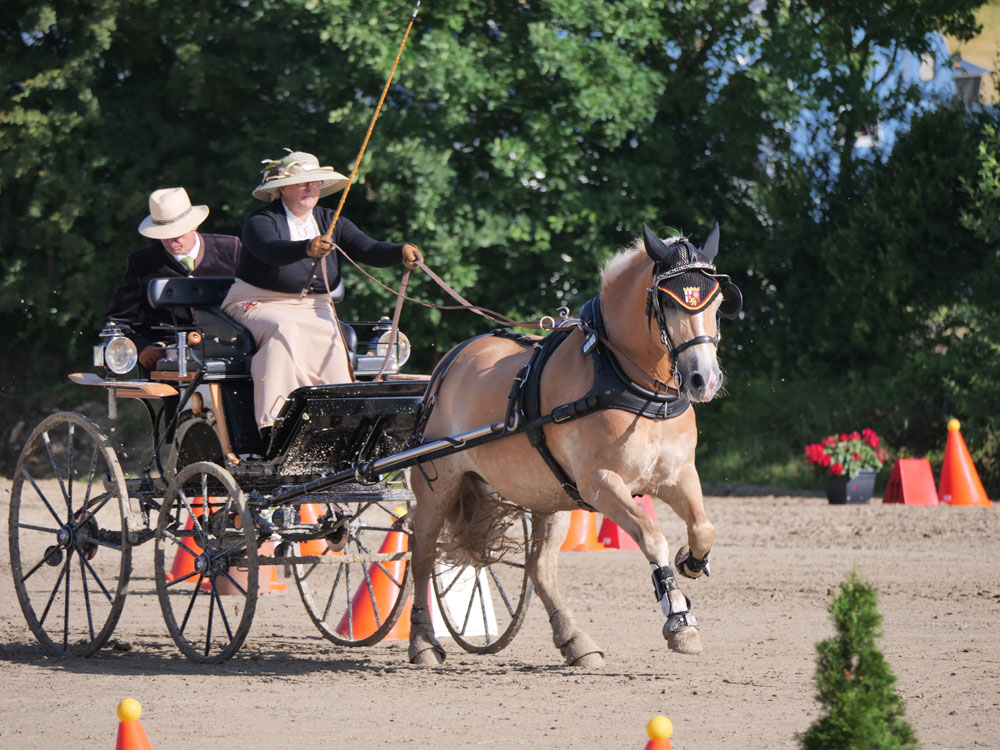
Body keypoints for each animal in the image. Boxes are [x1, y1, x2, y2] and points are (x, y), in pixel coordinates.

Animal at [406, 225, 744, 668]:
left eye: (718, 302)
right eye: (667, 303)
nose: (704, 379)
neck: (626, 381)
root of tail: (449, 363)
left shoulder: (677, 475)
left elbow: (704, 527)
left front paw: (691, 559)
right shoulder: (600, 484)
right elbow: (651, 535)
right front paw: (679, 618)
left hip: (548, 495)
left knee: (539, 569)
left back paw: (575, 640)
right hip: (437, 482)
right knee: (422, 553)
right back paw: (423, 642)